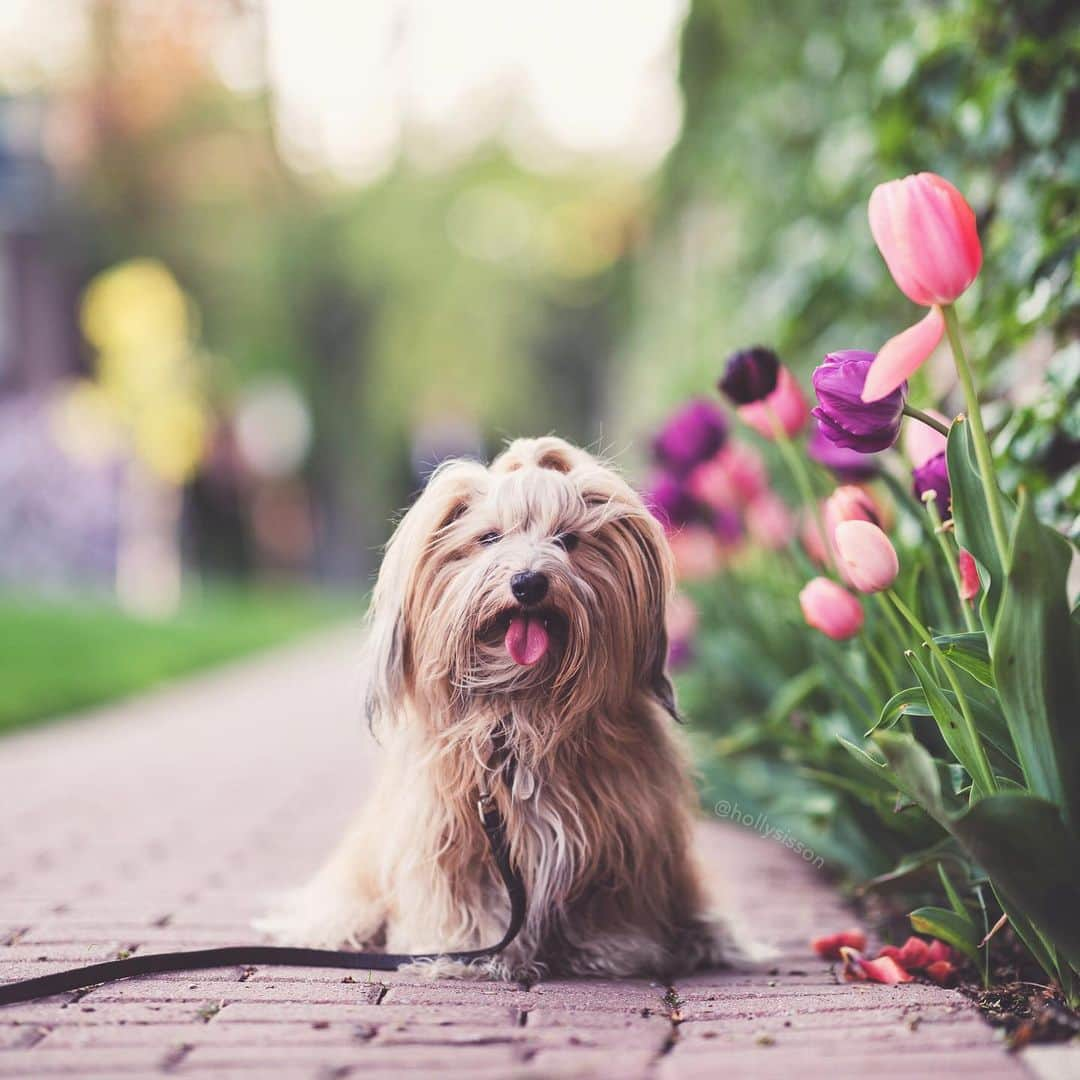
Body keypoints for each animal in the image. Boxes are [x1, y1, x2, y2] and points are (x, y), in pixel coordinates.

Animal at [258, 432, 730, 980]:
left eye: (568, 539)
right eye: (489, 538)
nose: (528, 583)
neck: (521, 712)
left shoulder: (624, 833)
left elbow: (610, 900)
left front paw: (610, 946)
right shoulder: (452, 835)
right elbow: (466, 899)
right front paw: (471, 949)